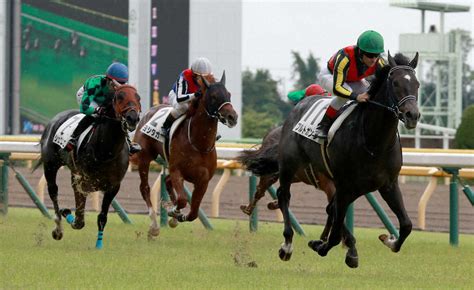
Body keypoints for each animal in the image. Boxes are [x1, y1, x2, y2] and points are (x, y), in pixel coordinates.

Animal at [38, 85, 142, 248]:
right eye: (119, 97)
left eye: (138, 97)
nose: (133, 118)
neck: (107, 150)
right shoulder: (82, 182)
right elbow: (79, 220)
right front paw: (66, 212)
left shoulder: (113, 186)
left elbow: (102, 217)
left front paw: (99, 244)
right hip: (50, 166)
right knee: (53, 192)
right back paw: (58, 227)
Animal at [131, 71, 237, 237]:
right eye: (213, 96)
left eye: (229, 94)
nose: (233, 117)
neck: (199, 144)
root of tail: (150, 111)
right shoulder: (177, 171)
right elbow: (182, 200)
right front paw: (172, 211)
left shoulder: (203, 180)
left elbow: (193, 212)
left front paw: (176, 215)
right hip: (144, 157)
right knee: (145, 188)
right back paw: (154, 226)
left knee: (166, 181)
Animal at [276, 52, 420, 268]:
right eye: (395, 83)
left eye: (417, 84)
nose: (413, 115)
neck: (374, 142)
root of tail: (301, 102)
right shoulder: (345, 185)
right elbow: (335, 233)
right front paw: (322, 246)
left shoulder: (388, 184)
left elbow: (407, 225)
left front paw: (389, 240)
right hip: (289, 164)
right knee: (284, 195)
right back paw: (287, 244)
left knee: (330, 208)